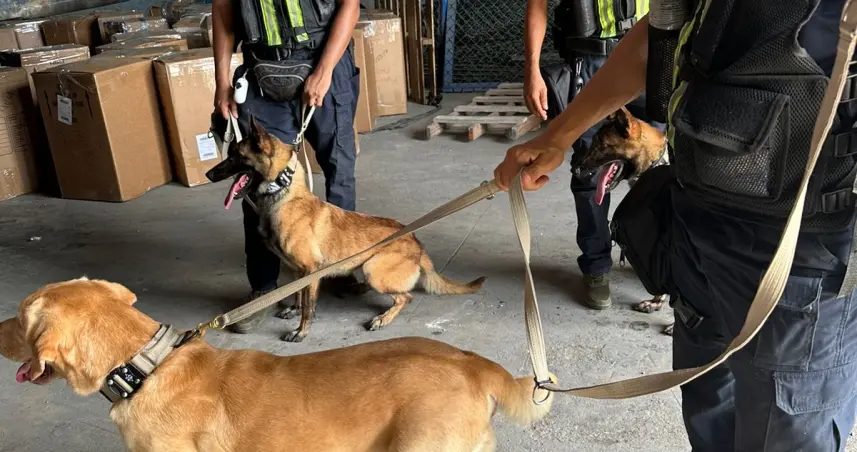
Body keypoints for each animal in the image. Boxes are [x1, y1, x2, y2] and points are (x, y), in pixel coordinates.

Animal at [206, 118, 486, 343]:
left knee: (405, 297)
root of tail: (416, 242)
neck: (284, 196)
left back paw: (383, 318)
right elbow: (298, 297)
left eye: (235, 155)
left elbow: (308, 307)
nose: (208, 174)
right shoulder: (298, 270)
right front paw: (294, 309)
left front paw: (301, 332)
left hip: (374, 269)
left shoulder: (310, 270)